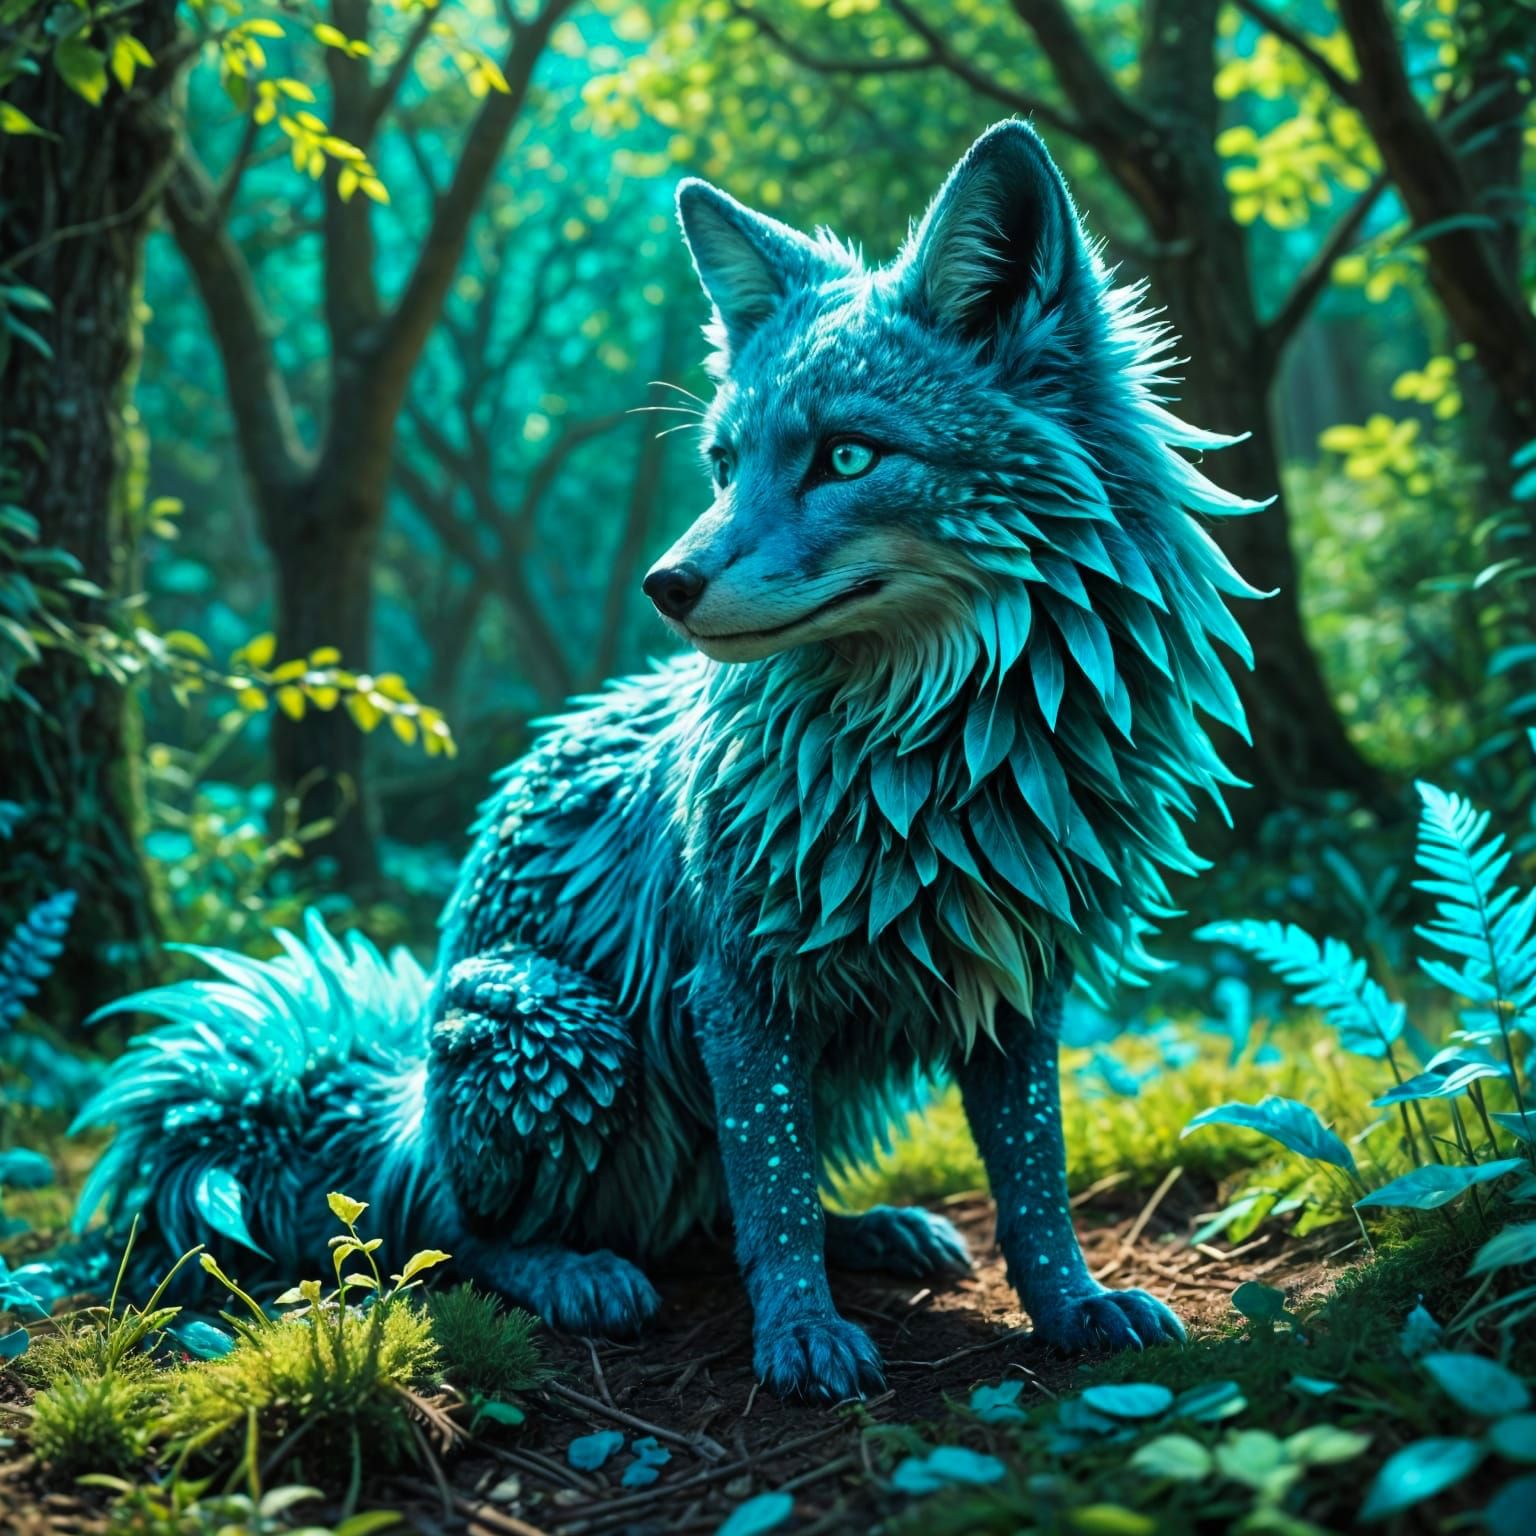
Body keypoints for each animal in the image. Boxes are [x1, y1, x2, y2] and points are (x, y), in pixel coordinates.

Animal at [74, 121, 1262, 1402]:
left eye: (848, 455)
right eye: (724, 462)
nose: (667, 584)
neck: (937, 763)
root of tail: (398, 1111)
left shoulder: (1017, 989)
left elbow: (1030, 1186)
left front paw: (1073, 1308)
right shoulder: (736, 989)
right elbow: (775, 1201)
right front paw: (798, 1335)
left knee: (701, 1217)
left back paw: (873, 1231)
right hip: (552, 1021)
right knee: (456, 1232)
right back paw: (576, 1272)